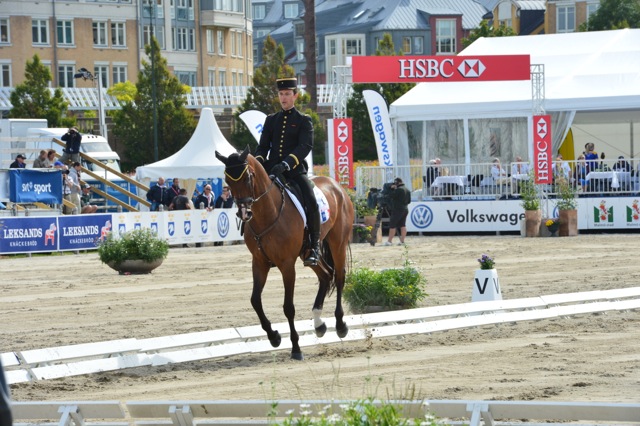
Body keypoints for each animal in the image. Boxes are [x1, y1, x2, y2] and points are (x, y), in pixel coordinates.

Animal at [216, 147, 356, 360]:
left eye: (247, 177)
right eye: (227, 180)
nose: (244, 213)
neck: (268, 212)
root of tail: (337, 186)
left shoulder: (287, 264)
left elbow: (288, 307)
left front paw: (296, 348)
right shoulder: (259, 262)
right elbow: (255, 300)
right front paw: (274, 337)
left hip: (337, 242)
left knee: (339, 277)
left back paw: (340, 325)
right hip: (308, 253)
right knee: (326, 275)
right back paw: (319, 324)